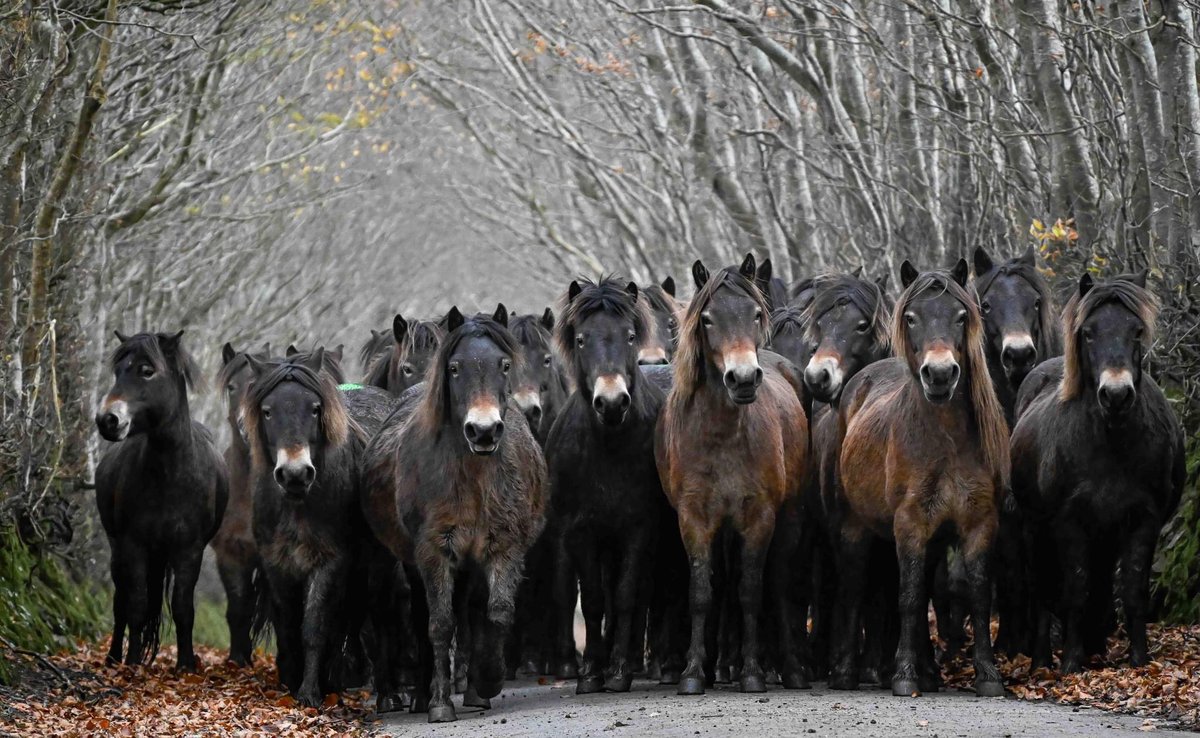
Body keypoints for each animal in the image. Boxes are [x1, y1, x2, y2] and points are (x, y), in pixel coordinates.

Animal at [94, 331, 228, 672]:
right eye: (118, 371)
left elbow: (183, 606)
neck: (170, 476)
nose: (107, 420)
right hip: (119, 551)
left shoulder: (189, 550)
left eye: (147, 370)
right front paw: (132, 663)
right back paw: (113, 658)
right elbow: (136, 604)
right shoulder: (133, 545)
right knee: (120, 603)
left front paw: (186, 665)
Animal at [652, 254, 811, 691]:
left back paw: (790, 668)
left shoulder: (759, 517)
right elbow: (702, 592)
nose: (742, 379)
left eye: (756, 313)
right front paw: (692, 673)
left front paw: (753, 672)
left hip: (788, 516)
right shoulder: (694, 518)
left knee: (777, 580)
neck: (722, 435)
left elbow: (751, 591)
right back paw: (720, 666)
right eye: (707, 319)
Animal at [830, 261, 1008, 700]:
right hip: (854, 526)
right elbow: (908, 598)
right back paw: (845, 673)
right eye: (911, 318)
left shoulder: (979, 523)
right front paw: (904, 676)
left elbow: (978, 596)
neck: (947, 441)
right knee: (853, 588)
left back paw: (929, 671)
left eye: (960, 316)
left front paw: (987, 675)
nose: (940, 375)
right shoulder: (910, 523)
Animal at [1012, 272, 1180, 676]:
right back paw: (1042, 660)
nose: (1116, 394)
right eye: (1088, 332)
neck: (1111, 442)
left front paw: (1139, 659)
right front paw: (1072, 661)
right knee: (1041, 590)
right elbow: (1076, 588)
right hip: (1034, 530)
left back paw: (1097, 646)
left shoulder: (1143, 521)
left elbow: (1132, 591)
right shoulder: (1070, 523)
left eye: (1136, 330)